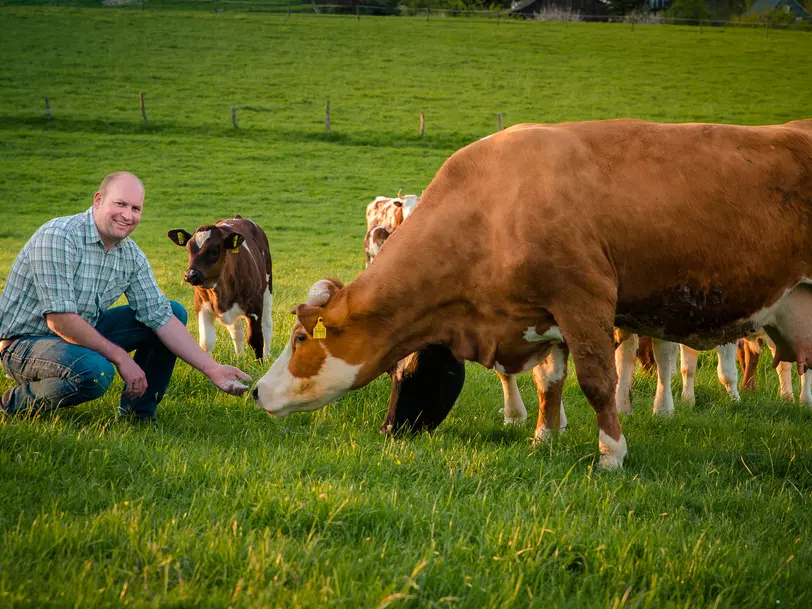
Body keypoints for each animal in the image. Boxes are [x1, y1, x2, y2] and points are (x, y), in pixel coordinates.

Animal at [167, 217, 272, 360]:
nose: (190, 274)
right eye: (188, 249)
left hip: (267, 291)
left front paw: (260, 363)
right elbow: (206, 342)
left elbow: (255, 339)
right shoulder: (201, 306)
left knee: (267, 326)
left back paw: (267, 357)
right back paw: (239, 358)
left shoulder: (254, 306)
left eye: (214, 251)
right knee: (237, 330)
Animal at [252, 120, 812, 470]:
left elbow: (597, 381)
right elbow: (551, 380)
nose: (256, 391)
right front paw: (543, 436)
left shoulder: (584, 301)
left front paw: (611, 454)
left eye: (300, 339)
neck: (494, 206)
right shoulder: (542, 315)